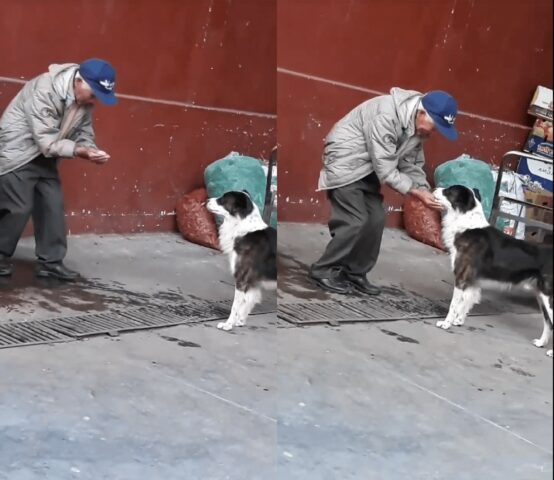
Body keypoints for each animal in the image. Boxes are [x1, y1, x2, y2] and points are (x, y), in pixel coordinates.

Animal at [206, 191, 274, 330]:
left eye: (223, 199)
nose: (206, 200)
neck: (243, 227)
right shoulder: (252, 282)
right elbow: (247, 302)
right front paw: (240, 321)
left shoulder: (242, 278)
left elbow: (235, 306)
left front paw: (228, 324)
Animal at [434, 184, 548, 356]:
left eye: (448, 191)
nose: (434, 189)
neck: (467, 224)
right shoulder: (472, 281)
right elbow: (466, 303)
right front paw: (458, 321)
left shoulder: (461, 278)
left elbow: (454, 305)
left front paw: (447, 323)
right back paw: (541, 343)